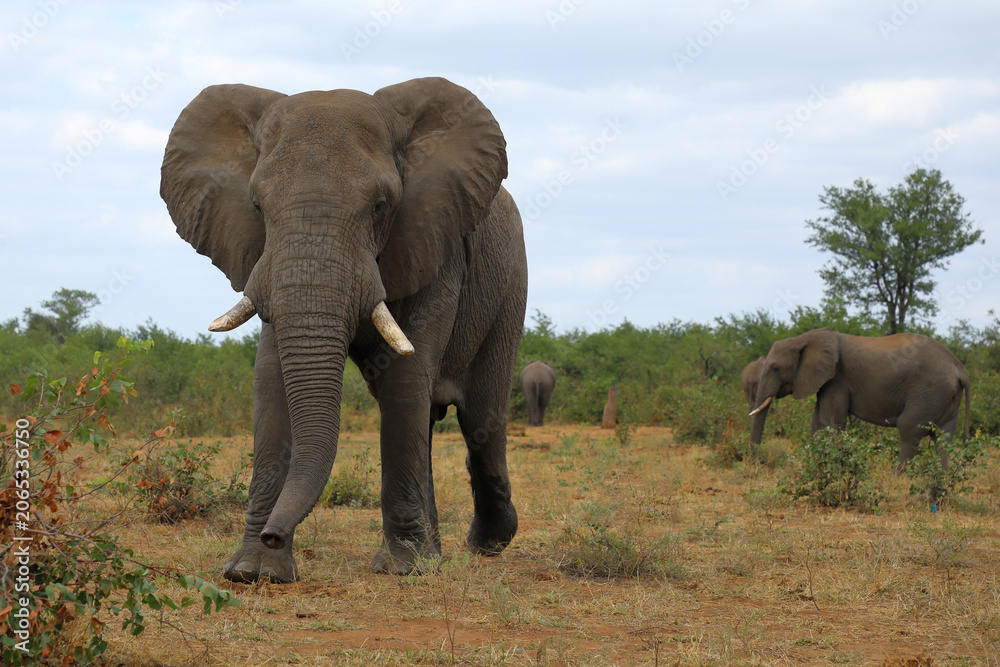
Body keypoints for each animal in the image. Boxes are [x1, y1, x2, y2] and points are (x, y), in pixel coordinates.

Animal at [160, 77, 527, 582]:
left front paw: (403, 569)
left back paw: (485, 545)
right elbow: (272, 380)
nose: (273, 533)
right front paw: (253, 571)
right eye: (256, 205)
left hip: (509, 287)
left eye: (380, 207)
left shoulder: (434, 242)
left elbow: (404, 378)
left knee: (481, 420)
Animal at [749, 328, 970, 468]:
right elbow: (817, 423)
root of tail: (960, 370)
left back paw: (897, 479)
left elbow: (831, 422)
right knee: (943, 437)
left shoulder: (838, 379)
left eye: (776, 368)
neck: (803, 339)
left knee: (909, 431)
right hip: (946, 398)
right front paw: (814, 467)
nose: (763, 461)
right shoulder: (826, 380)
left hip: (928, 393)